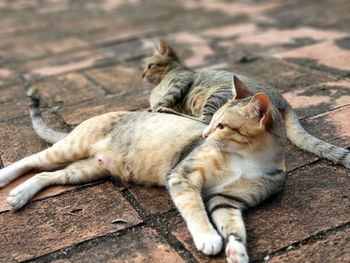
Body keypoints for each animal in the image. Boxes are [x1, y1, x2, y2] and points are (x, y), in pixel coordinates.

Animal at [0, 91, 288, 263]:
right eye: (212, 121)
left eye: (222, 125)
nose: (205, 135)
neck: (247, 159)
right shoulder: (183, 176)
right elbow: (195, 210)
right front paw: (207, 237)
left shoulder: (228, 200)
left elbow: (234, 228)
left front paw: (237, 251)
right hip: (72, 146)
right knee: (33, 160)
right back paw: (5, 178)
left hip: (86, 170)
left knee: (46, 175)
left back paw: (18, 196)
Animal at [143, 40, 350, 170]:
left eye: (149, 65)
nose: (142, 75)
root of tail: (285, 103)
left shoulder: (180, 82)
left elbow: (165, 99)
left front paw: (156, 107)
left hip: (216, 95)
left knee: (202, 120)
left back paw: (165, 111)